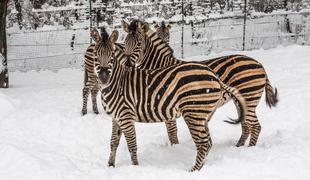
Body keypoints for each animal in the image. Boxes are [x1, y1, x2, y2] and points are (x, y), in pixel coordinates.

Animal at [92, 28, 247, 172]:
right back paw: (201, 168)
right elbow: (113, 142)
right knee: (208, 142)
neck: (117, 81)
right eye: (95, 56)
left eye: (112, 56)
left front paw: (135, 167)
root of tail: (214, 75)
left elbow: (132, 145)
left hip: (194, 113)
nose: (104, 78)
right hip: (201, 115)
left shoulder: (126, 116)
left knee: (204, 143)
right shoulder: (116, 117)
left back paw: (193, 171)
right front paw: (110, 165)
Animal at [121, 19, 278, 146]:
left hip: (249, 97)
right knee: (246, 125)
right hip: (240, 100)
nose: (127, 64)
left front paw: (175, 149)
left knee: (256, 126)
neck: (160, 65)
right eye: (124, 43)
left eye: (138, 44)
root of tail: (260, 64)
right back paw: (238, 146)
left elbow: (172, 133)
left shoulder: (166, 105)